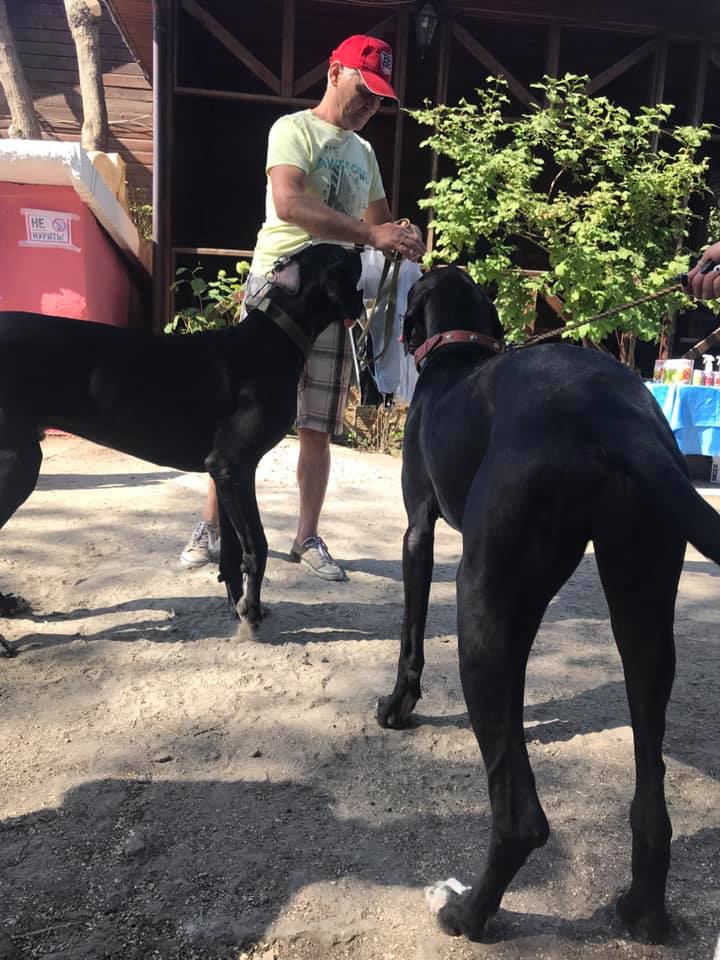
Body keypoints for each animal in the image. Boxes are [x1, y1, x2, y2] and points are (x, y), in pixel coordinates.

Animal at [0, 243, 363, 652]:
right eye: (339, 256)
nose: (361, 246)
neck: (275, 337)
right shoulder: (233, 465)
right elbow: (256, 543)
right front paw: (251, 616)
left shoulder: (226, 473)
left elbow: (233, 551)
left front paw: (239, 606)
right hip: (18, 461)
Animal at [376, 265, 720, 943]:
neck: (457, 353)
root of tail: (612, 415)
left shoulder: (416, 531)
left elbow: (410, 634)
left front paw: (398, 705)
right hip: (643, 608)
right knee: (651, 805)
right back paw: (644, 912)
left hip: (483, 598)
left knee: (520, 817)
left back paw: (467, 913)